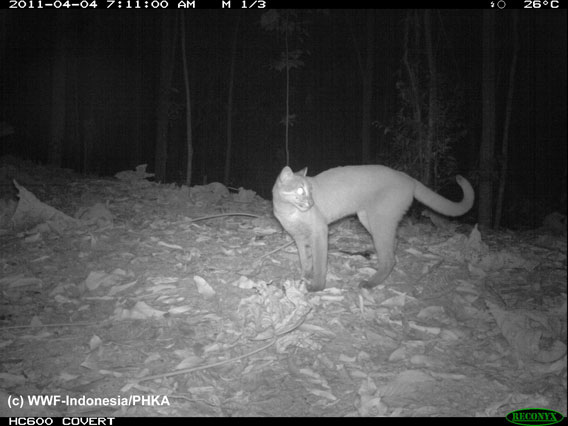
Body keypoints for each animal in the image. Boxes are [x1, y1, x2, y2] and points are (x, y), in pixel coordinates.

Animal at [272, 165, 474, 292]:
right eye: (300, 190)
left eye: (311, 191)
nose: (311, 203)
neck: (288, 210)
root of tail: (407, 178)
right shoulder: (299, 237)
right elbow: (304, 258)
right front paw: (305, 274)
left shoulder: (320, 232)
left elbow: (320, 261)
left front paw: (317, 286)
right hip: (368, 218)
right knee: (393, 244)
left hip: (379, 219)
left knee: (389, 258)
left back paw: (370, 283)